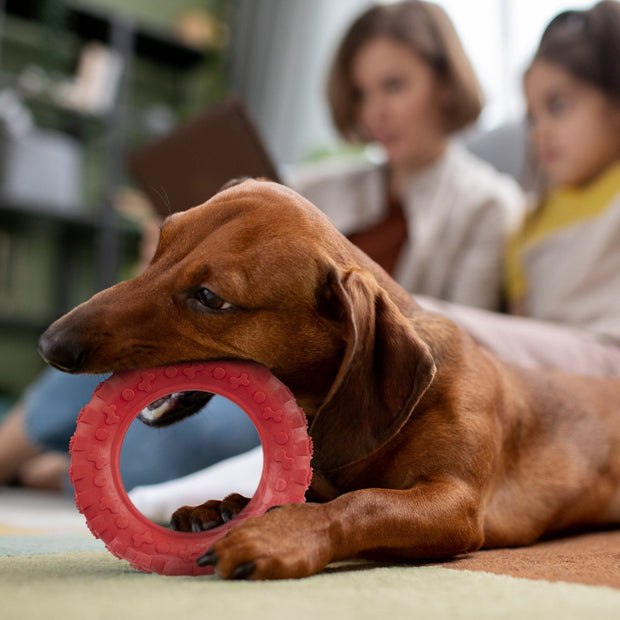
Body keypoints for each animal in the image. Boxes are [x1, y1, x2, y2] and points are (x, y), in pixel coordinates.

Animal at [38, 179, 620, 580]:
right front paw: (223, 507)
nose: (50, 345)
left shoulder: (455, 505)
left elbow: (364, 502)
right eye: (160, 244)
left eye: (210, 298)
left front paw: (276, 537)